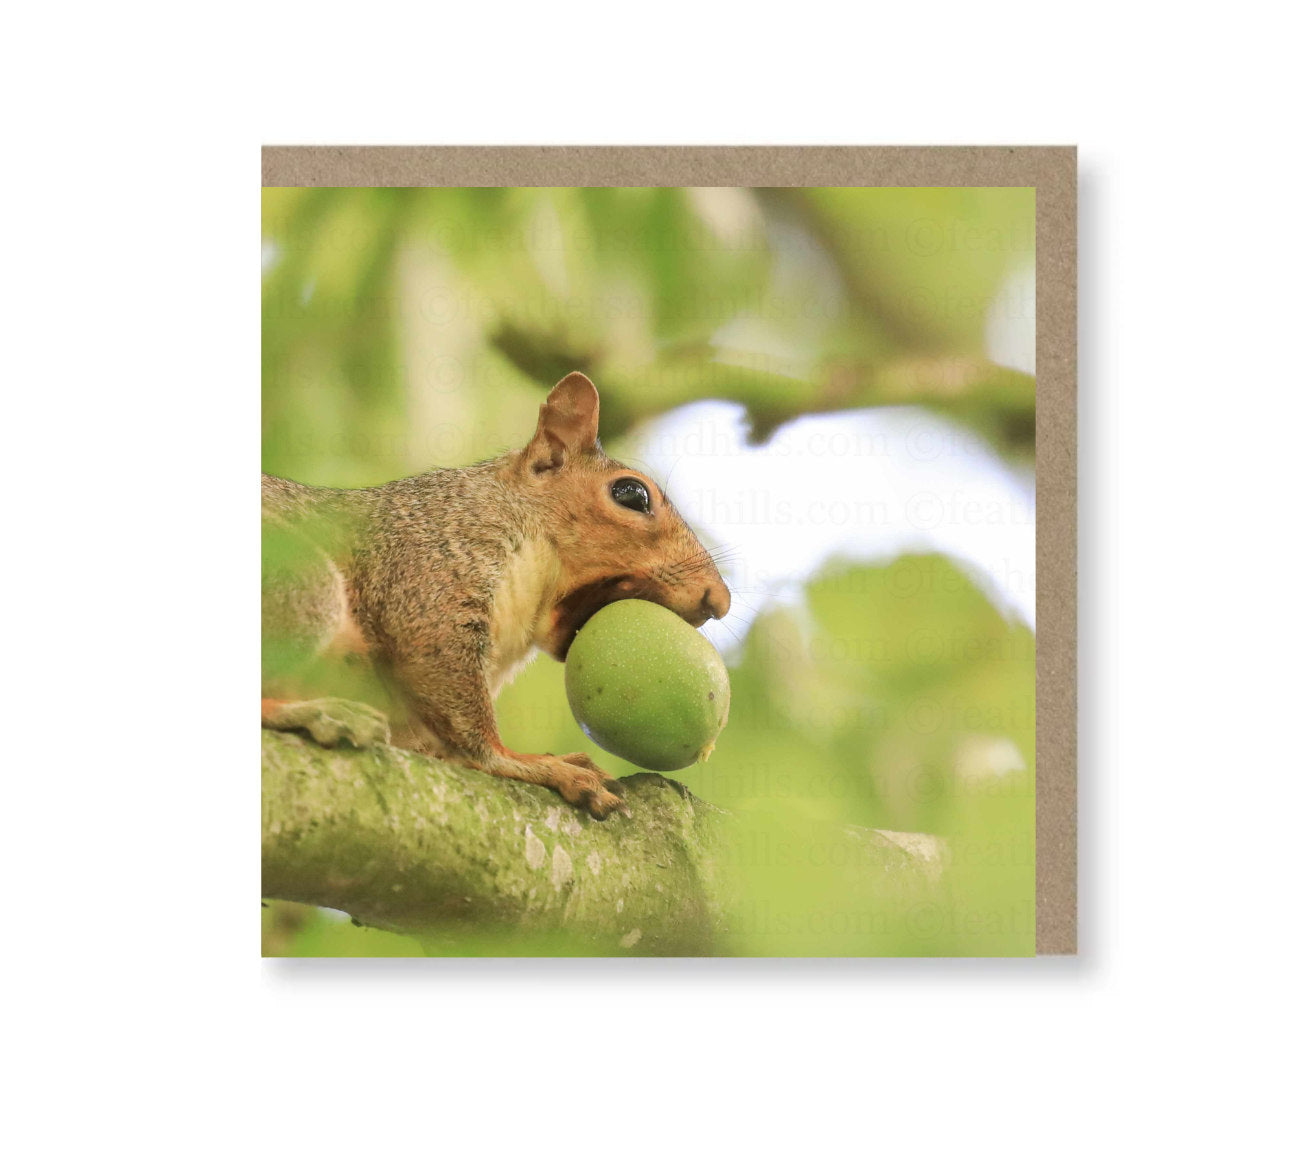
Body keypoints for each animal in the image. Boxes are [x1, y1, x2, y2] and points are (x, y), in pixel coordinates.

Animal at [262, 371, 731, 819]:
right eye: (631, 494)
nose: (719, 600)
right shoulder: (428, 565)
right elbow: (458, 702)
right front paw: (534, 763)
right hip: (302, 583)